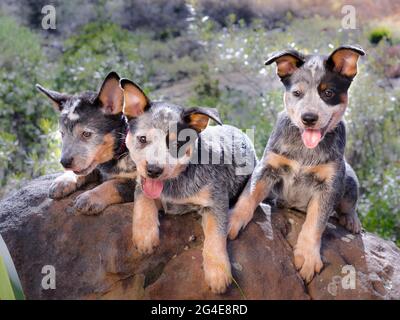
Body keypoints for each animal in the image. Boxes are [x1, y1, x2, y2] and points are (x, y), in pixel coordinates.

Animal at [228, 45, 366, 282]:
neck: (304, 149)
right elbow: (248, 196)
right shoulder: (268, 166)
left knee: (348, 204)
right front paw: (230, 221)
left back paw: (351, 220)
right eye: (297, 93)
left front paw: (308, 257)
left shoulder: (329, 183)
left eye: (328, 93)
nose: (308, 118)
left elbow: (315, 222)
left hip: (348, 178)